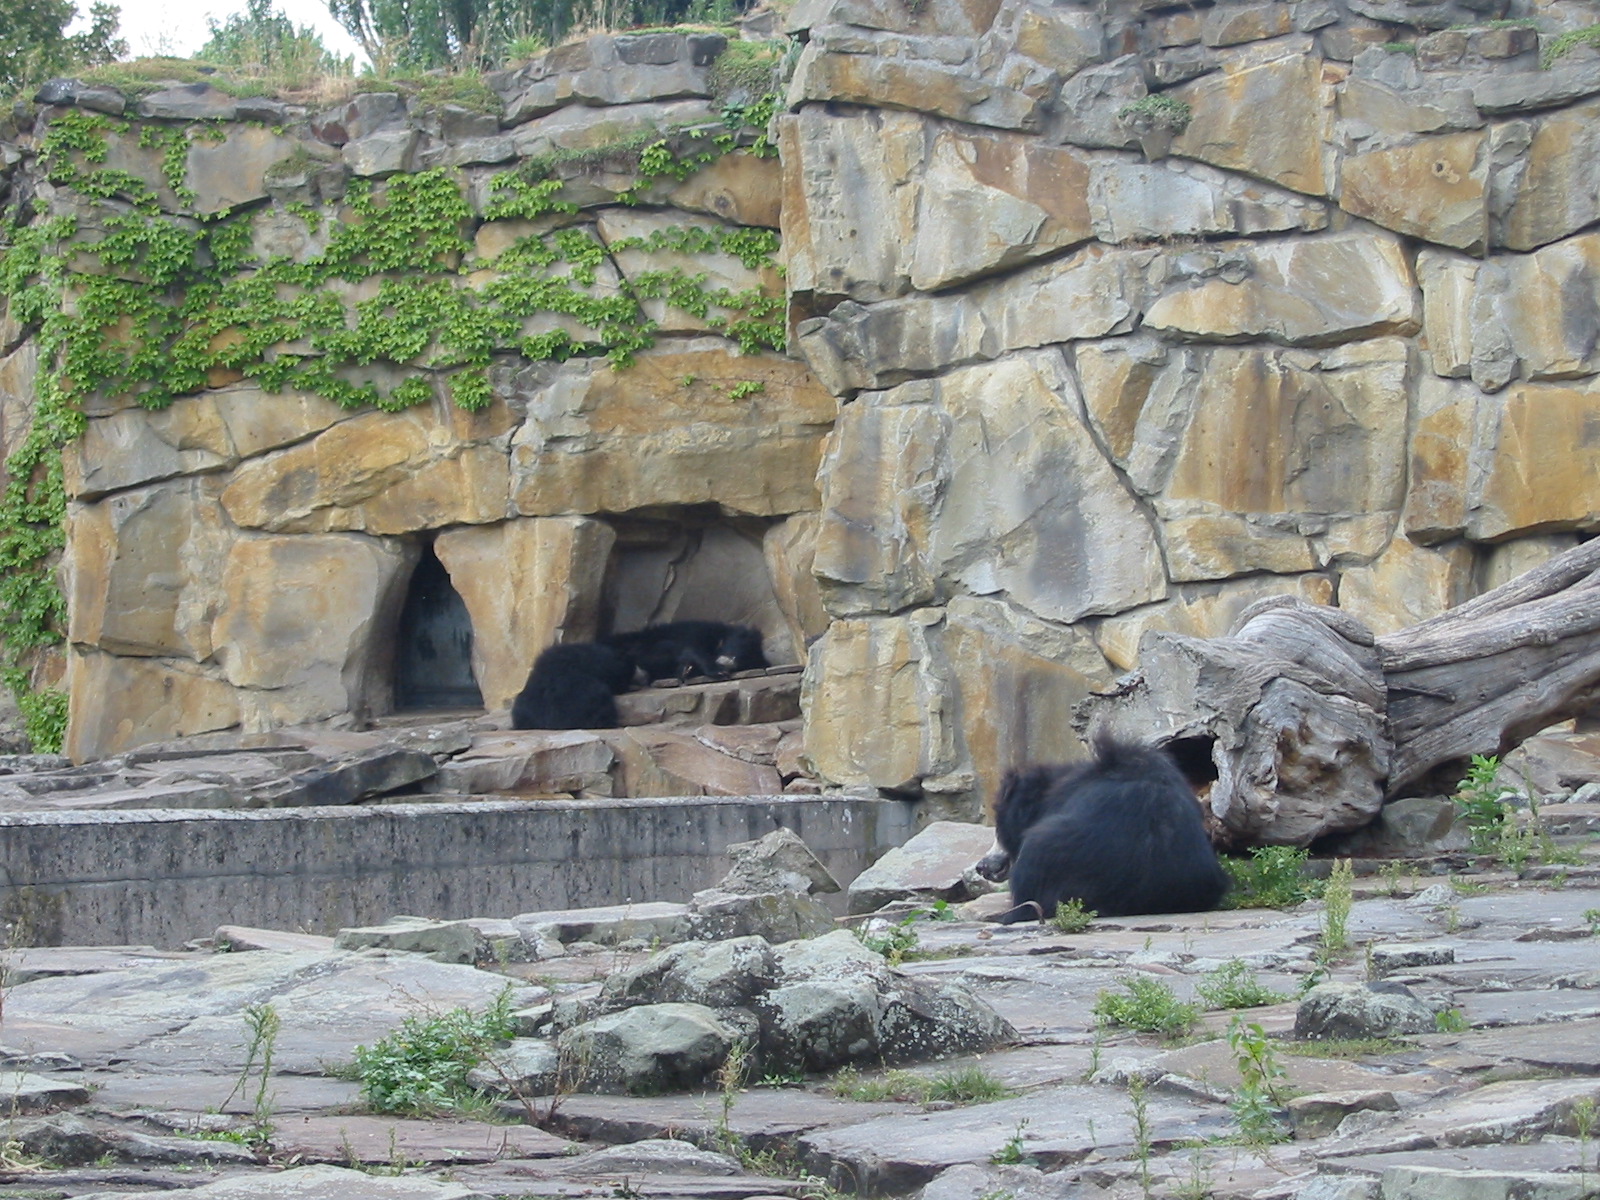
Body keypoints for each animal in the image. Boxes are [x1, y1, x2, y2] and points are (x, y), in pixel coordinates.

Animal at [603, 620, 769, 684]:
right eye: (735, 649)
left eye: (743, 662)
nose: (727, 663)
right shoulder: (696, 631)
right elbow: (693, 648)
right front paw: (718, 671)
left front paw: (685, 670)